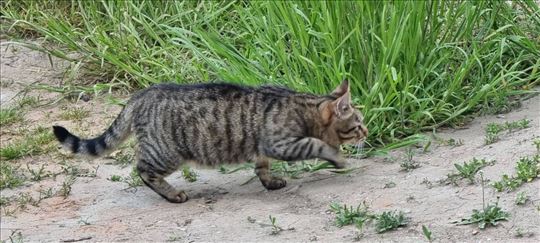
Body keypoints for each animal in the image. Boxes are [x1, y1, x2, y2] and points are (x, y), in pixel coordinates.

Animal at [52, 80, 368, 203]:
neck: (305, 107)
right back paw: (172, 195)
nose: (367, 132)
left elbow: (262, 167)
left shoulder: (262, 150)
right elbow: (317, 144)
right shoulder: (281, 143)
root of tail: (142, 94)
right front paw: (338, 157)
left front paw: (270, 182)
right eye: (357, 124)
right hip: (165, 153)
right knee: (142, 169)